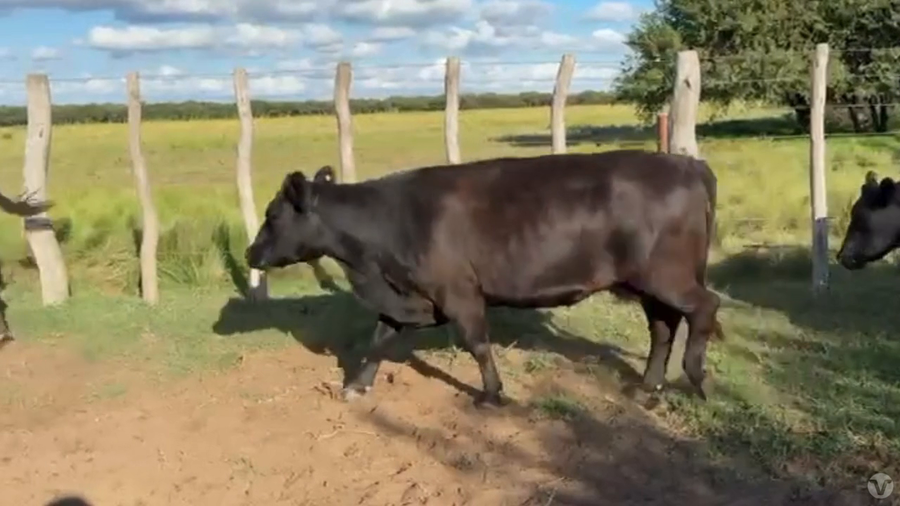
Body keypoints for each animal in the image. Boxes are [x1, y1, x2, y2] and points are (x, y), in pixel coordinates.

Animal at [245, 149, 724, 407]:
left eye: (273, 215)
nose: (250, 253)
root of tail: (685, 163)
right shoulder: (406, 296)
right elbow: (378, 340)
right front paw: (356, 387)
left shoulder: (459, 292)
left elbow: (478, 344)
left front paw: (492, 394)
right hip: (645, 283)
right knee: (663, 327)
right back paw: (648, 387)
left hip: (666, 275)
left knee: (705, 306)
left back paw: (695, 377)